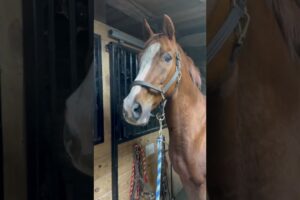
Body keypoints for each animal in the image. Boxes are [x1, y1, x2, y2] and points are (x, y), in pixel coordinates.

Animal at [122, 14, 206, 199]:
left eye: (167, 57)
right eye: (139, 57)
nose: (130, 108)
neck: (197, 133)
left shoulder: (202, 185)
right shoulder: (188, 182)